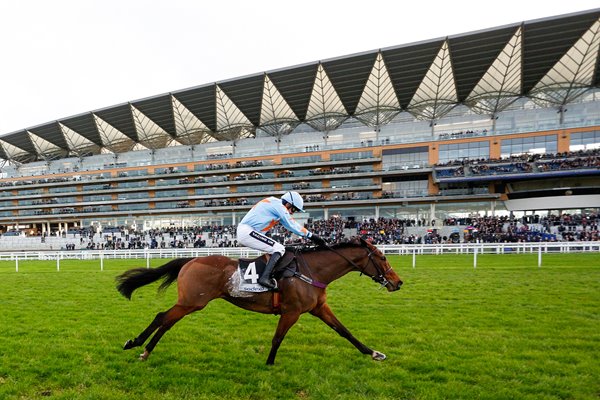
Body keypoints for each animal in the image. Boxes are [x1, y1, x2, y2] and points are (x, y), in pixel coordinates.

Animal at [115, 238, 404, 366]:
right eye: (382, 257)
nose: (398, 282)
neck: (311, 271)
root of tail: (191, 260)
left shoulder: (318, 308)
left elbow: (345, 331)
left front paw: (374, 353)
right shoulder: (292, 312)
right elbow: (277, 338)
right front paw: (269, 363)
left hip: (190, 303)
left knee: (166, 321)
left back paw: (144, 349)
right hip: (192, 302)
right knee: (162, 318)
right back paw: (136, 345)